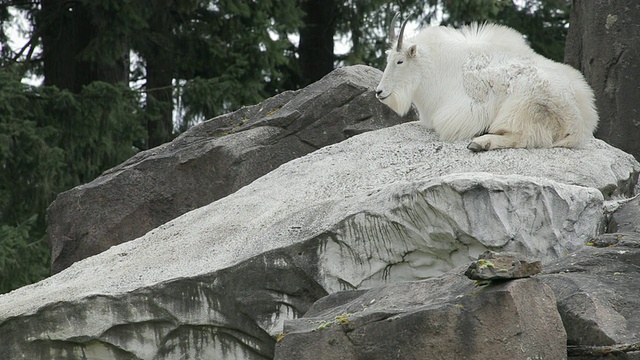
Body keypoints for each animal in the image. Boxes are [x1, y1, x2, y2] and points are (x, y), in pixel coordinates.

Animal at [378, 13, 596, 152]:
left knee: (526, 137)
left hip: (524, 106)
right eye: (388, 59)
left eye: (400, 61)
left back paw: (481, 142)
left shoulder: (467, 111)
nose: (379, 92)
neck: (440, 67)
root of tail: (580, 123)